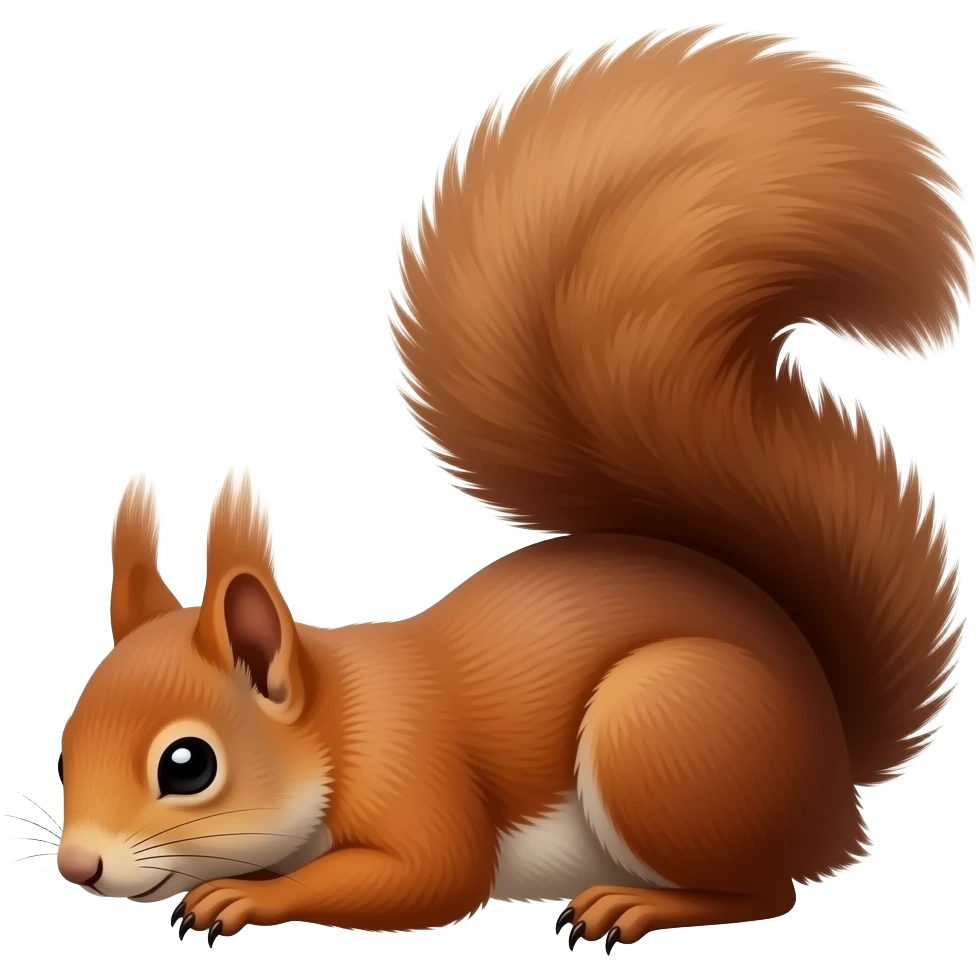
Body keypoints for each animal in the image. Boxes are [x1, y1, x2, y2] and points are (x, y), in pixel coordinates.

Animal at [58, 26, 970, 950]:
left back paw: (635, 903)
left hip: (664, 735)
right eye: (63, 748)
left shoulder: (415, 777)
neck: (339, 719)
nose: (77, 867)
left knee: (766, 888)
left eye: (188, 764)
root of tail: (832, 766)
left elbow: (432, 876)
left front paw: (241, 892)